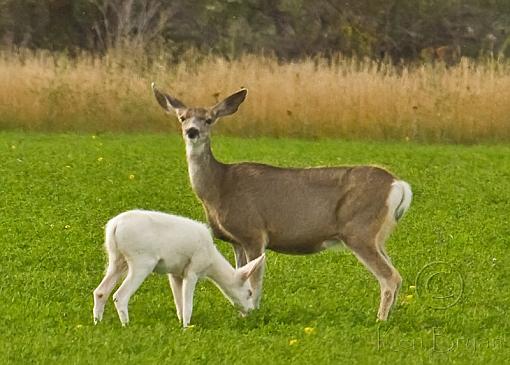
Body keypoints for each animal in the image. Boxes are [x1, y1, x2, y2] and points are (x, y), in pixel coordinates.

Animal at [150, 84, 410, 318]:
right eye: (182, 117)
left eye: (209, 119)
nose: (192, 131)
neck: (219, 186)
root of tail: (398, 185)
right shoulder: (236, 241)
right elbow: (239, 275)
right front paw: (241, 313)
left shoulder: (253, 232)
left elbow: (254, 281)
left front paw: (251, 314)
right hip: (377, 236)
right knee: (395, 274)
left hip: (359, 230)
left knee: (390, 277)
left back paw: (380, 320)